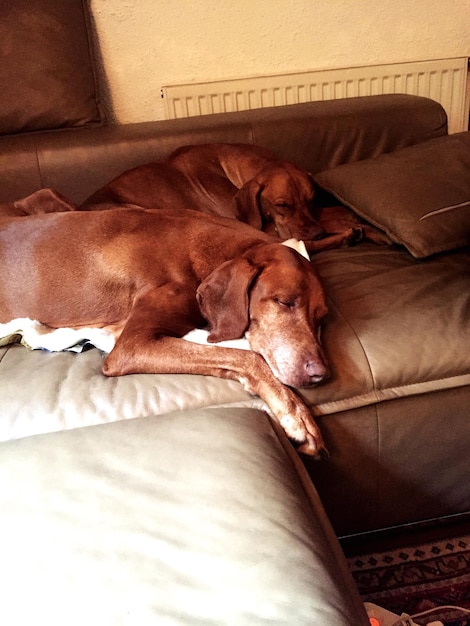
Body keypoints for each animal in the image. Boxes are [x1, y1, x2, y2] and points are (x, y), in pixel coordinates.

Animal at [0, 207, 328, 456]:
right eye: (284, 301)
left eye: (321, 317)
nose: (320, 374)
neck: (204, 250)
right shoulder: (131, 346)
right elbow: (246, 357)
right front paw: (296, 413)